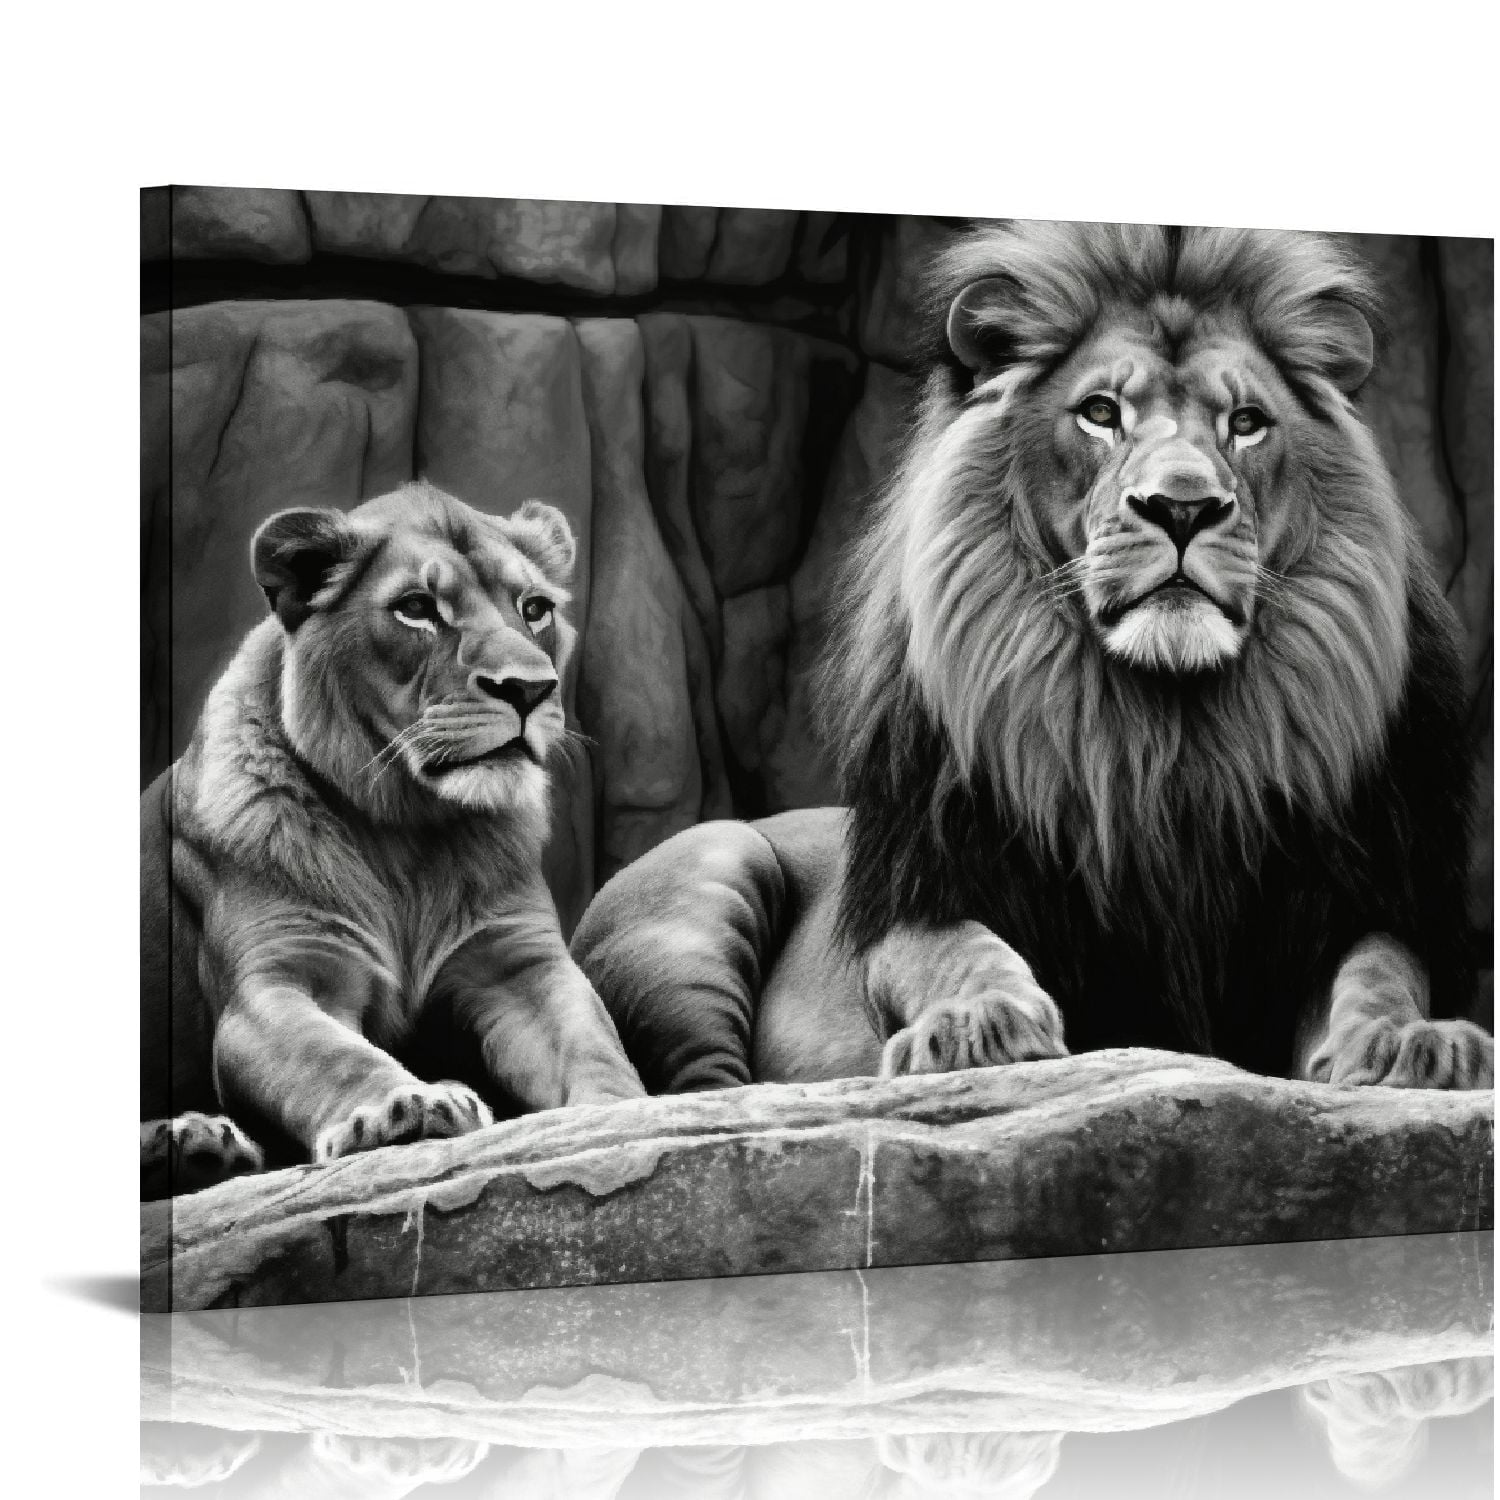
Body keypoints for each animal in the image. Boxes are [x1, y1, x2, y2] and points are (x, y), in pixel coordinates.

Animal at [140, 479, 644, 1198]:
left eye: (535, 608)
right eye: (416, 609)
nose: (529, 689)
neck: (410, 830)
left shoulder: (520, 962)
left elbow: (592, 1043)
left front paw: (629, 1110)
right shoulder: (278, 981)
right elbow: (331, 1055)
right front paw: (402, 1108)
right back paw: (192, 1143)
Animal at [571, 221, 1493, 1096]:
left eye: (1246, 423)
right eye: (1100, 412)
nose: (1183, 507)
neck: (1168, 752)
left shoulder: (1346, 904)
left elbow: (1378, 970)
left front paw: (1413, 1041)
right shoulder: (928, 888)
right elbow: (956, 949)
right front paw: (976, 1024)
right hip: (713, 868)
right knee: (697, 1083)